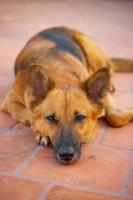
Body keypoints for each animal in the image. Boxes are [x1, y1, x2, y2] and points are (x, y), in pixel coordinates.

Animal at [0, 27, 133, 164]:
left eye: (79, 117)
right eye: (50, 118)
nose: (66, 155)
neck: (61, 77)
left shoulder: (104, 97)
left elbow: (114, 116)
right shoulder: (9, 102)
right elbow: (29, 116)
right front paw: (41, 132)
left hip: (88, 46)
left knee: (110, 66)